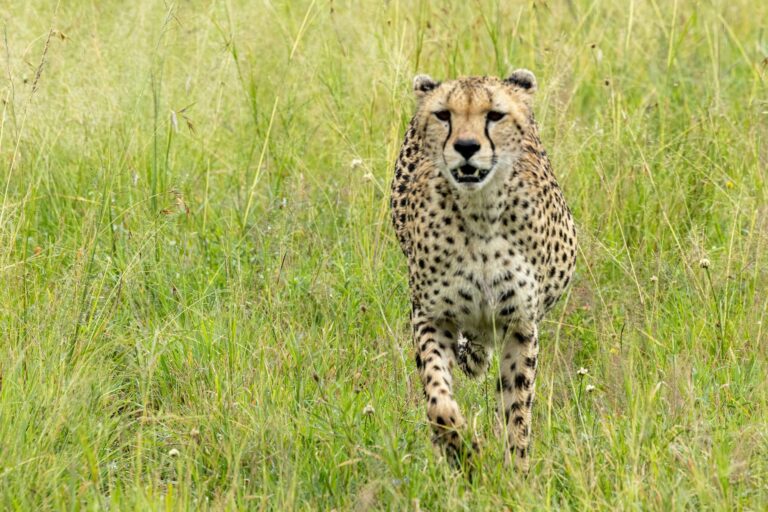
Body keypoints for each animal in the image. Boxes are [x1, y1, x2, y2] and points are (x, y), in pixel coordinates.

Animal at [390, 70, 576, 473]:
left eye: (494, 115)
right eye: (444, 115)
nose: (466, 146)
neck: (479, 212)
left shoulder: (520, 324)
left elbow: (517, 409)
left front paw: (516, 472)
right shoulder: (431, 315)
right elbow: (438, 400)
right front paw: (464, 453)